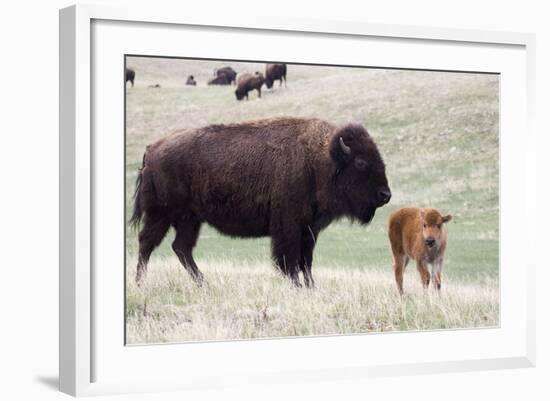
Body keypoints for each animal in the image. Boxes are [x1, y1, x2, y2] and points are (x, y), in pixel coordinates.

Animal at [132, 115, 392, 288]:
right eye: (360, 162)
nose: (385, 195)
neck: (320, 159)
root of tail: (152, 148)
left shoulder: (310, 229)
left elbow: (306, 260)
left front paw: (311, 286)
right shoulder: (288, 226)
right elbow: (289, 259)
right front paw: (297, 286)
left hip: (190, 219)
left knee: (181, 247)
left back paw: (203, 283)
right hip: (161, 214)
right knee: (147, 243)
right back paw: (140, 282)